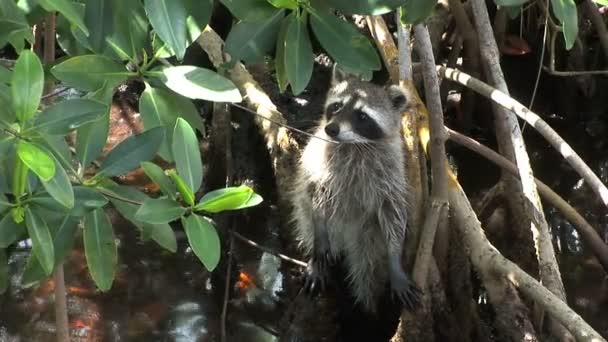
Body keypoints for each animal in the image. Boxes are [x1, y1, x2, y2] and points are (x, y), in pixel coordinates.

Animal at [292, 65, 420, 314]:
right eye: (336, 106)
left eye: (362, 116)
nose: (331, 129)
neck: (354, 145)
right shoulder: (320, 162)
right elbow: (316, 193)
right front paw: (318, 234)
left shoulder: (390, 174)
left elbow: (393, 214)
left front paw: (395, 260)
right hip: (313, 219)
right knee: (309, 222)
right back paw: (317, 260)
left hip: (368, 235)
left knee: (367, 272)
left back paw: (367, 308)